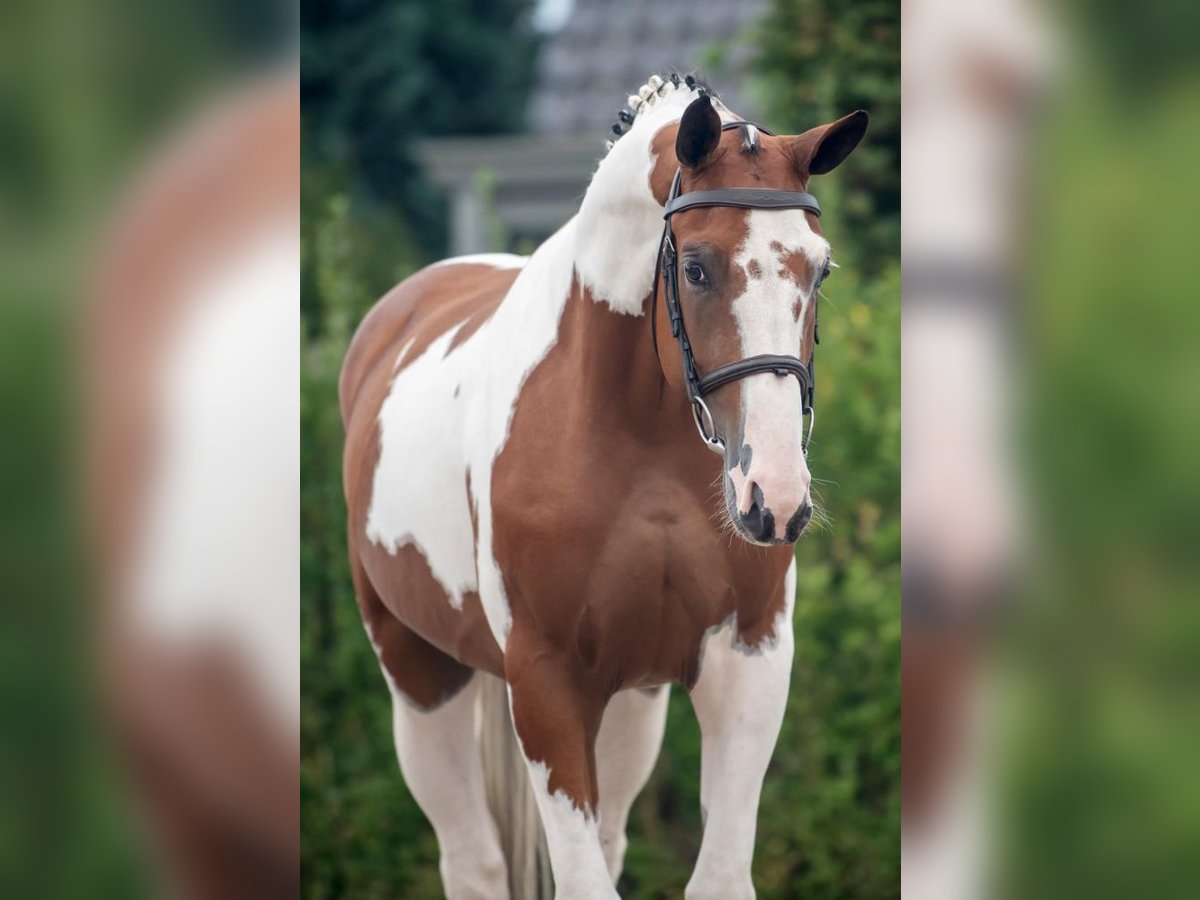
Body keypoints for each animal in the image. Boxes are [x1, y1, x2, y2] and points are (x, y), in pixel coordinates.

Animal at [343, 74, 868, 897]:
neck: (637, 442)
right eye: (696, 267)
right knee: (473, 861)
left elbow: (717, 876)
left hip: (633, 696)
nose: (776, 501)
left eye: (819, 270)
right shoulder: (546, 683)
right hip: (419, 674)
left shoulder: (748, 656)